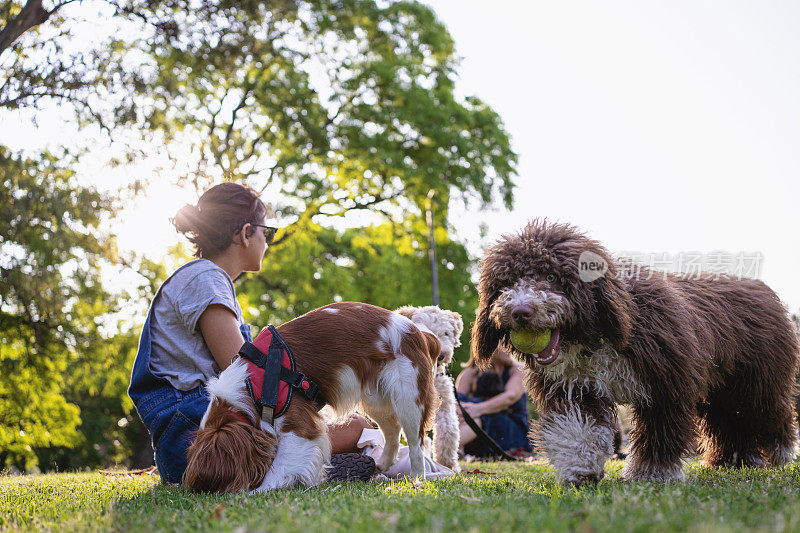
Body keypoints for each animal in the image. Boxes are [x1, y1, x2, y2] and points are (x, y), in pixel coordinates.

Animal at [472, 218, 796, 484]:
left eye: (552, 277)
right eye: (507, 282)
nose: (520, 312)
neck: (598, 338)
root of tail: (763, 290)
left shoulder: (666, 384)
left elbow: (660, 430)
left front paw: (653, 474)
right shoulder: (574, 388)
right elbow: (576, 427)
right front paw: (580, 470)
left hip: (756, 381)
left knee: (770, 413)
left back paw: (781, 454)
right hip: (722, 389)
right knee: (730, 421)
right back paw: (735, 460)